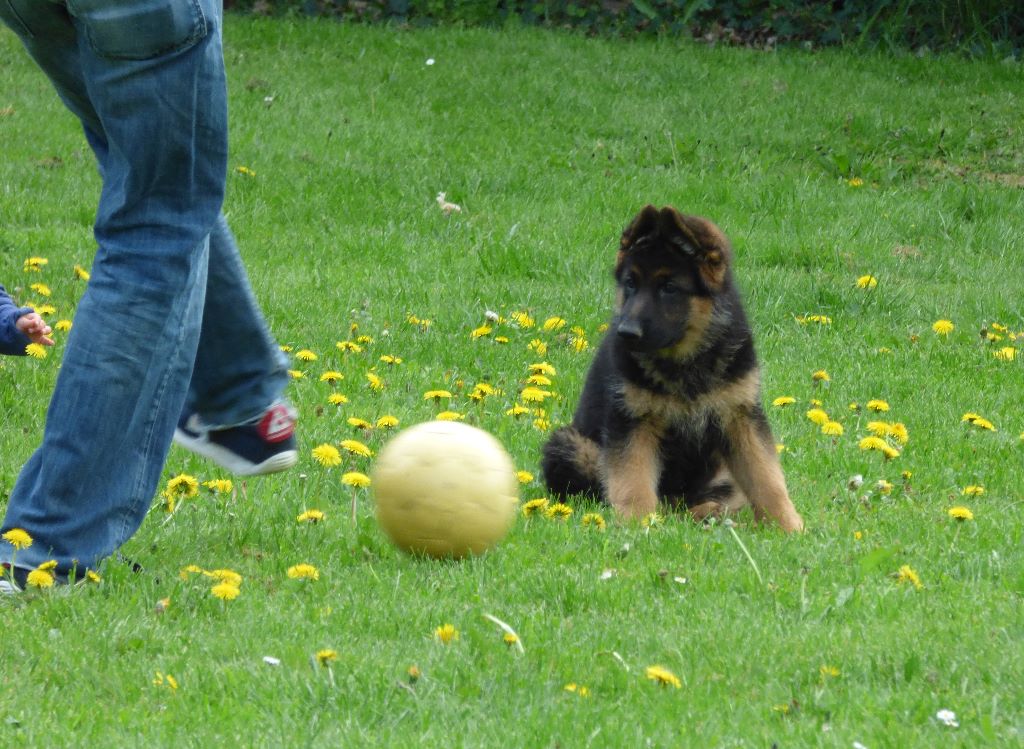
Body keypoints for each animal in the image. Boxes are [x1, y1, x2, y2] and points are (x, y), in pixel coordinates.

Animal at [540, 204, 802, 532]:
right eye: (630, 283)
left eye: (669, 288)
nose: (626, 333)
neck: (684, 361)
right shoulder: (633, 420)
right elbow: (633, 481)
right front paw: (639, 524)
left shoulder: (740, 416)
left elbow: (766, 477)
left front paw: (787, 525)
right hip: (571, 448)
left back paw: (707, 512)